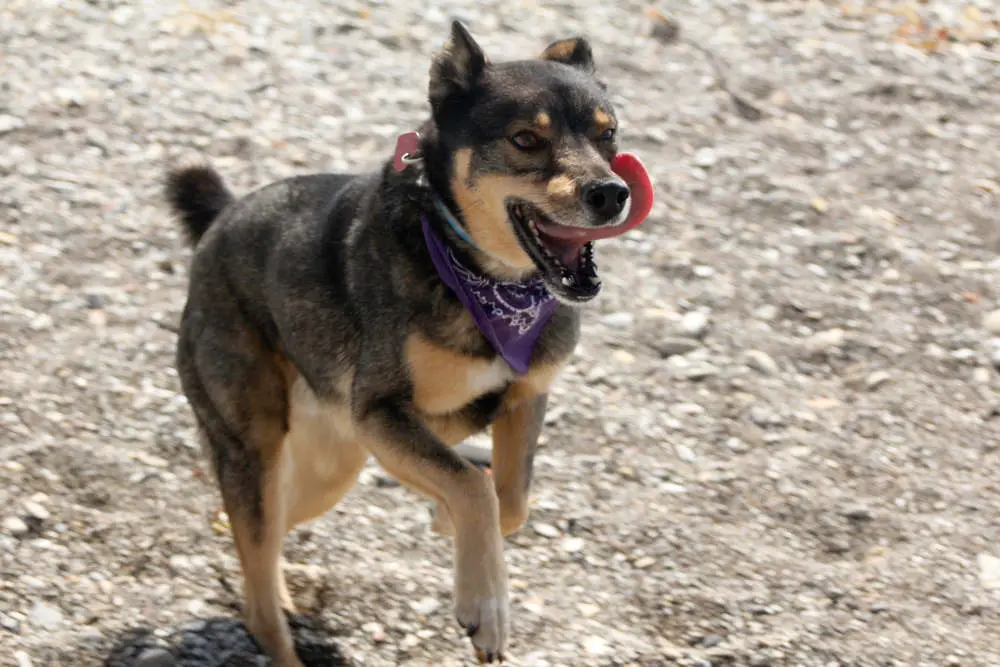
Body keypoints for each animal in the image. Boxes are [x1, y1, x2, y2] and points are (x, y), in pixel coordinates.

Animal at [166, 22, 648, 667]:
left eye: (607, 133)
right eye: (525, 139)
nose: (611, 194)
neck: (483, 278)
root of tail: (221, 219)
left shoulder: (521, 398)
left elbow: (510, 497)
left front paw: (447, 524)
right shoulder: (381, 412)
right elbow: (474, 487)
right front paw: (485, 607)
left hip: (332, 465)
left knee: (265, 553)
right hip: (255, 447)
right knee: (260, 579)